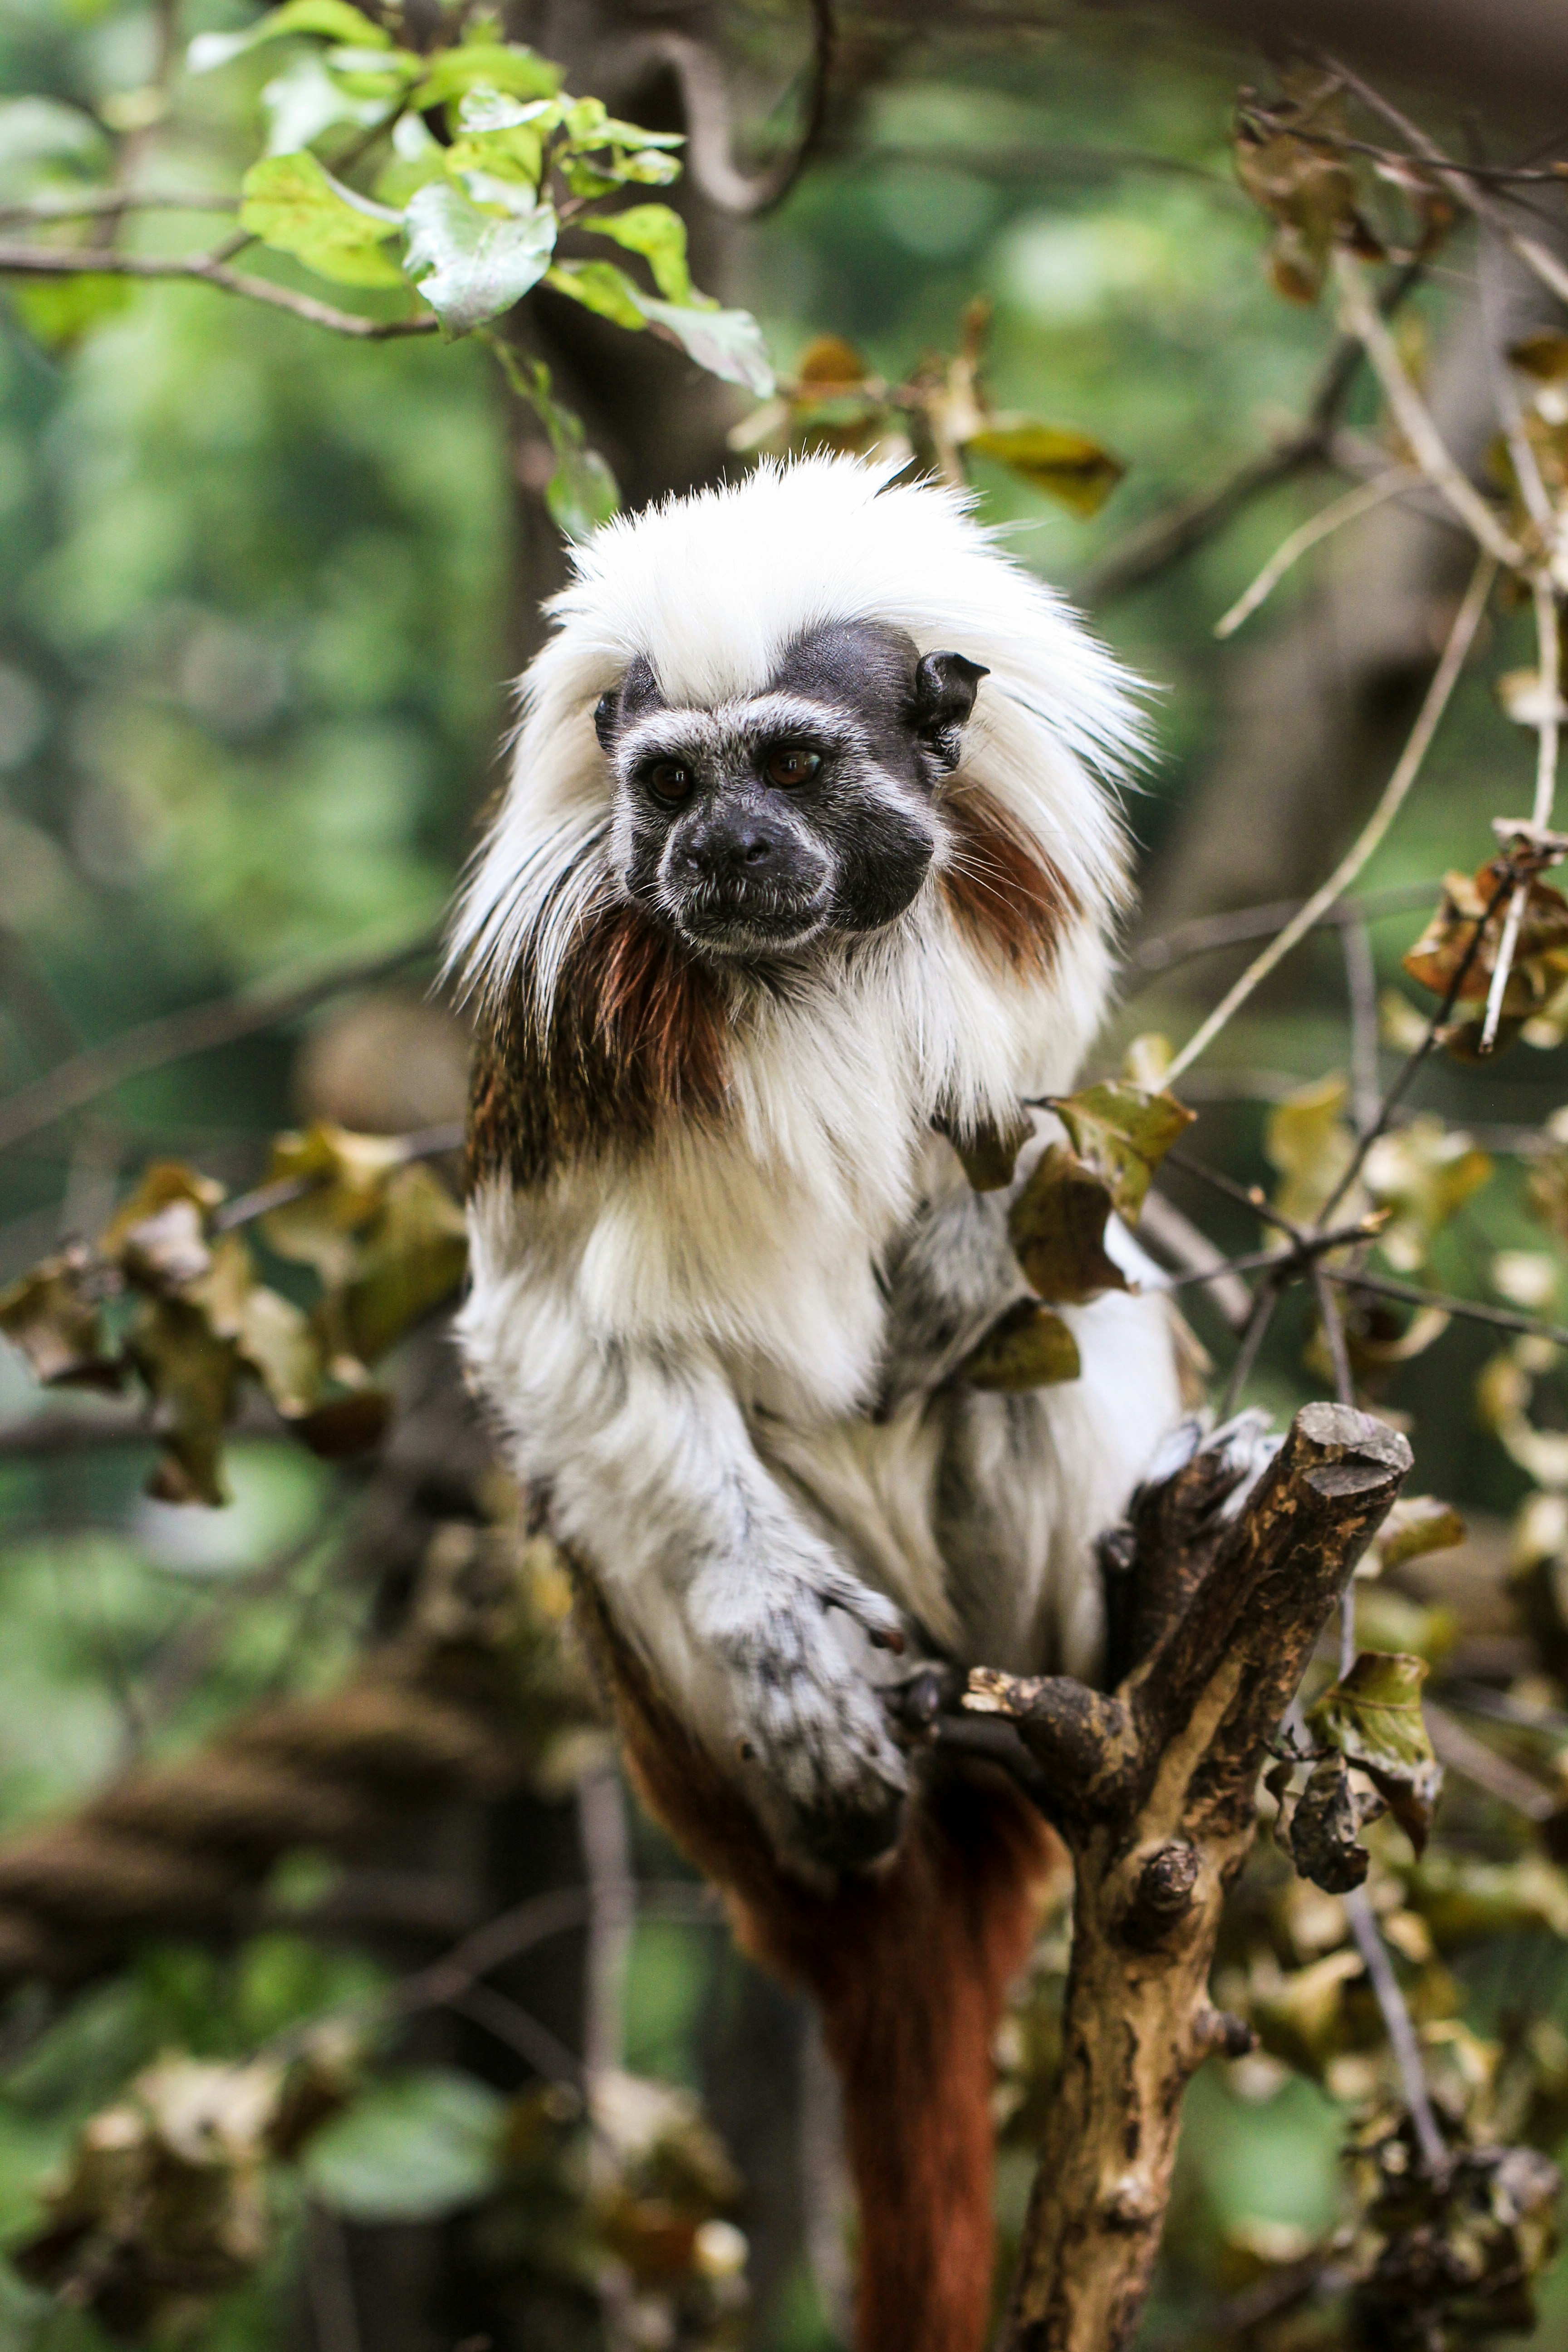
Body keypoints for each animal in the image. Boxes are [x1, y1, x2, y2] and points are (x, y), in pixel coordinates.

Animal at [449, 454, 1185, 2352]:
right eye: (670, 782)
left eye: (786, 768)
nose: (717, 849)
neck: (817, 973)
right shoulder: (568, 1036)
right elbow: (556, 1325)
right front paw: (779, 1652)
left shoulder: (1003, 944)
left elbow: (1046, 1193)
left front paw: (969, 1245)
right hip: (701, 1759)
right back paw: (841, 1790)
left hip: (983, 1624)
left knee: (1049, 1340)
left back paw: (1126, 1605)